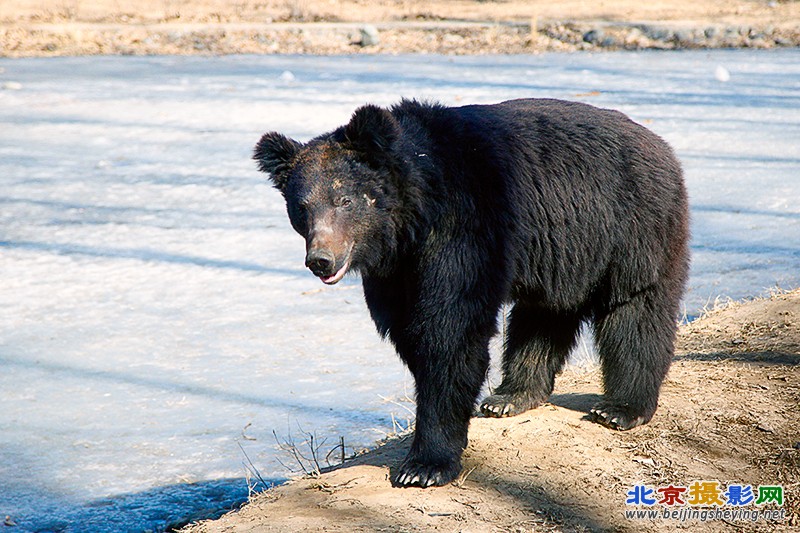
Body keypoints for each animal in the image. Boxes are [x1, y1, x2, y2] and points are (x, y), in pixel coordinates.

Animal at [255, 97, 688, 488]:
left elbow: (450, 329)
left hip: (628, 228)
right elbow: (408, 329)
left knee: (635, 312)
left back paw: (620, 408)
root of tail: (661, 145)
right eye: (301, 207)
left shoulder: (466, 228)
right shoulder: (396, 272)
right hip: (562, 249)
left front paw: (424, 466)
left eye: (344, 200)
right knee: (543, 314)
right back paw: (512, 394)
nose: (321, 260)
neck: (414, 218)